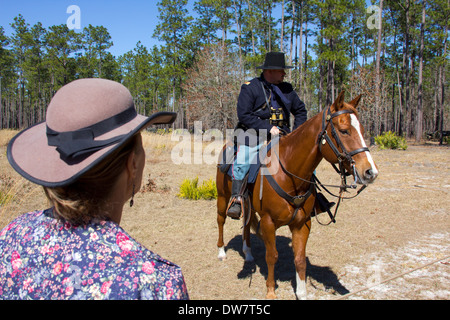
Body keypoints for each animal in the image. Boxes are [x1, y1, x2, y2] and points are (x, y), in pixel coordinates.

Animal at [216, 92, 378, 300]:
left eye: (362, 130)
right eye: (344, 131)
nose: (370, 172)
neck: (289, 173)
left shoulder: (302, 223)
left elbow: (300, 259)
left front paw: (301, 293)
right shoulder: (268, 222)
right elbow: (272, 256)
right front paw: (270, 290)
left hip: (247, 201)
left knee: (246, 222)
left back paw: (248, 253)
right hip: (222, 197)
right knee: (221, 220)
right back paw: (221, 252)